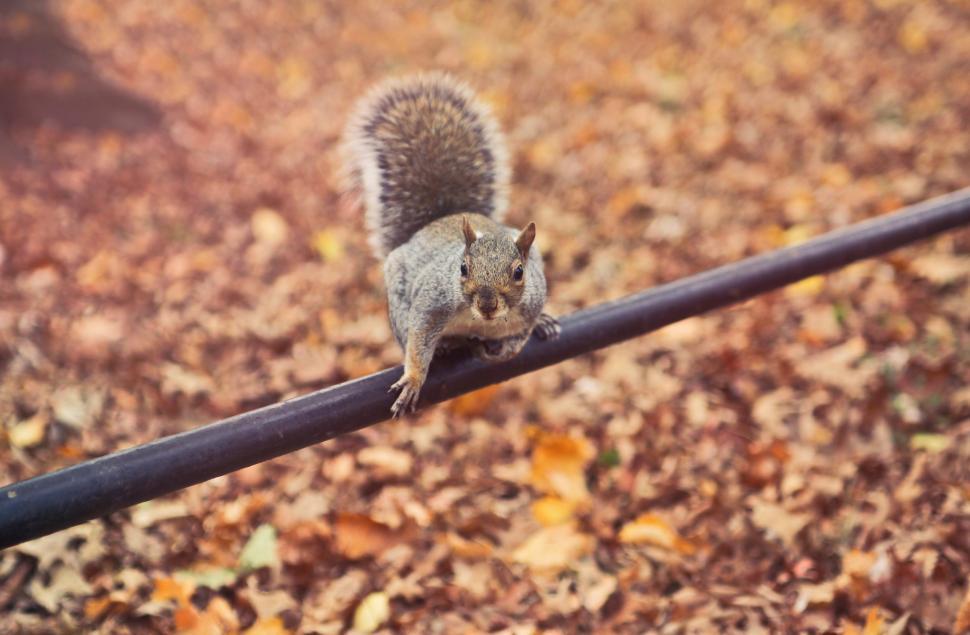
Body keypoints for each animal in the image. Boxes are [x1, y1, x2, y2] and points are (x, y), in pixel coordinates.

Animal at [341, 72, 560, 416]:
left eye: (519, 272)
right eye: (463, 268)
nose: (487, 305)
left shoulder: (531, 302)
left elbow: (519, 338)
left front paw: (508, 347)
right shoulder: (432, 303)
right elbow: (418, 340)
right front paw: (414, 379)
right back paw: (447, 345)